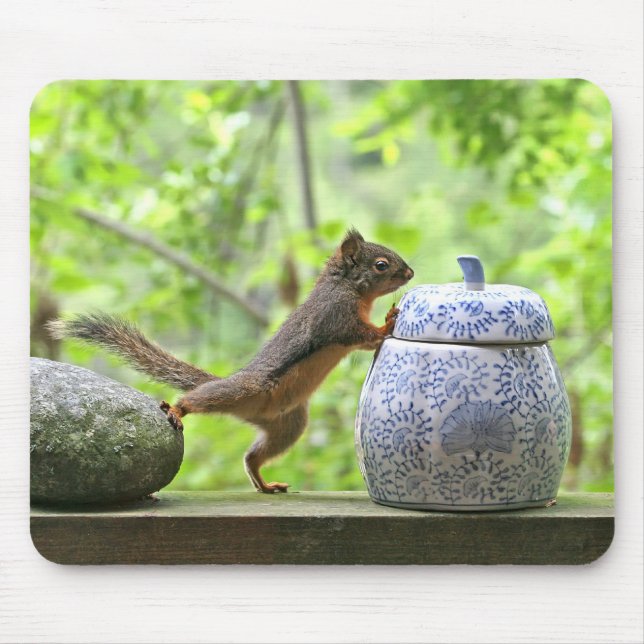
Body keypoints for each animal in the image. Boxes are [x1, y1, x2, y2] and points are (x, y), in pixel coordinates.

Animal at [48, 228, 414, 493]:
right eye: (381, 265)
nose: (410, 272)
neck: (347, 287)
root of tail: (251, 408)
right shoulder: (336, 316)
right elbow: (361, 335)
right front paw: (388, 322)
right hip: (243, 390)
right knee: (198, 399)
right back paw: (178, 410)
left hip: (288, 424)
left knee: (252, 456)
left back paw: (264, 483)